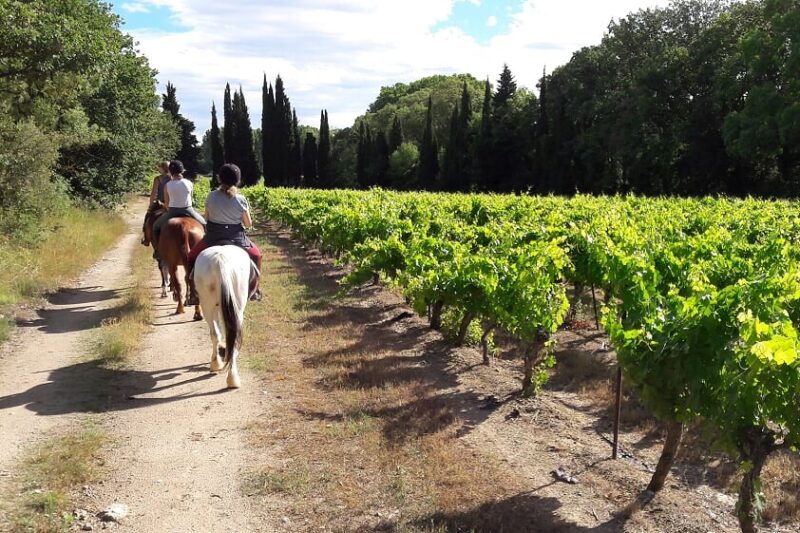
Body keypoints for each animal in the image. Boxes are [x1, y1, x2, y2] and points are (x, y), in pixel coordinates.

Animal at [193, 244, 250, 386]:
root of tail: (220, 260)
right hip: (236, 306)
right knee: (231, 335)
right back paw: (231, 376)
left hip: (207, 304)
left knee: (216, 333)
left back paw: (218, 365)